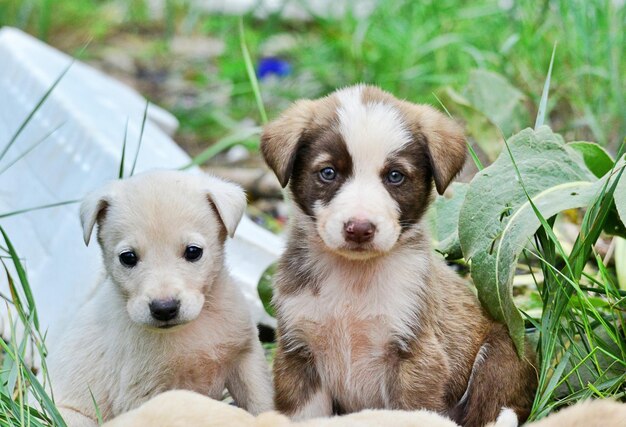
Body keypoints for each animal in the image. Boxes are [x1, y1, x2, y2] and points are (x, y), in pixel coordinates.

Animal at [47, 171, 272, 427]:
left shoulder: (246, 358)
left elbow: (261, 401)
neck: (193, 329)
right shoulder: (144, 392)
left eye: (193, 252)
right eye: (128, 257)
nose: (164, 309)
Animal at [258, 85, 536, 426]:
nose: (359, 228)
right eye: (328, 172)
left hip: (500, 356)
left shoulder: (416, 355)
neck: (353, 278)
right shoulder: (298, 354)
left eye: (395, 176)